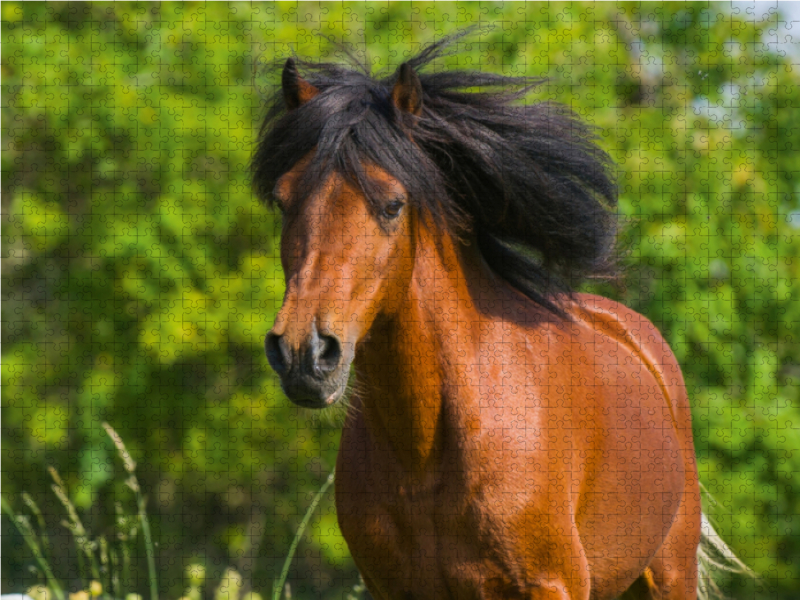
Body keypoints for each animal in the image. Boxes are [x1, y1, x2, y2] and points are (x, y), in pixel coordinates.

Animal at [253, 32, 748, 600]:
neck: (425, 453)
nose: (303, 353)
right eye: (283, 201)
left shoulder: (551, 583)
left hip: (668, 574)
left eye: (393, 205)